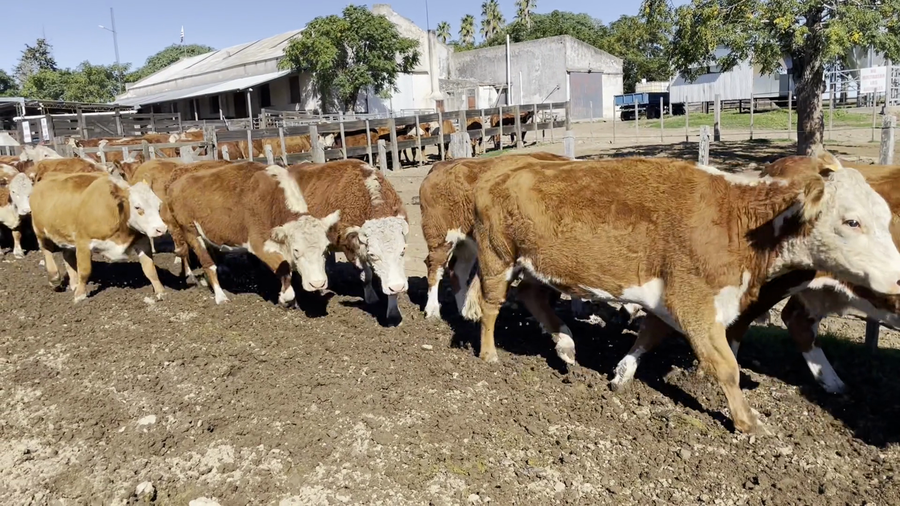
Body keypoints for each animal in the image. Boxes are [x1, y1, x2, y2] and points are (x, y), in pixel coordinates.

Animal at [29, 171, 168, 303]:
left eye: (159, 205)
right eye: (137, 207)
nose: (161, 229)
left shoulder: (142, 241)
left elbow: (150, 269)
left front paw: (161, 292)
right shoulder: (83, 242)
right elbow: (85, 271)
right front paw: (80, 295)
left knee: (67, 255)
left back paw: (73, 284)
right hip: (40, 231)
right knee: (46, 250)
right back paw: (54, 279)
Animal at [166, 161, 340, 306]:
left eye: (325, 249)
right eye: (296, 250)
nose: (317, 283)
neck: (273, 201)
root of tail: (175, 184)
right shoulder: (260, 244)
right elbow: (284, 270)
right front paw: (285, 298)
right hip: (190, 231)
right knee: (208, 264)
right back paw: (220, 296)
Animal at [288, 159, 409, 322]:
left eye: (403, 250)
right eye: (372, 255)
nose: (398, 286)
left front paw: (393, 312)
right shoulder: (350, 248)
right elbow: (366, 275)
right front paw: (371, 298)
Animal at [419, 152, 572, 319]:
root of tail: (440, 165)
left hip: (467, 242)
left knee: (457, 269)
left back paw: (462, 309)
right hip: (440, 236)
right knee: (435, 266)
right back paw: (432, 309)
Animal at [467, 155, 900, 434]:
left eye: (885, 218)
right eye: (852, 221)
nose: (897, 278)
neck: (736, 219)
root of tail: (498, 172)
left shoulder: (670, 298)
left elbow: (650, 335)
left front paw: (622, 374)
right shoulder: (693, 300)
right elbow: (726, 366)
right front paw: (747, 422)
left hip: (539, 264)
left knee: (532, 297)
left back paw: (566, 345)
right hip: (496, 256)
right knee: (491, 305)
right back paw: (489, 354)